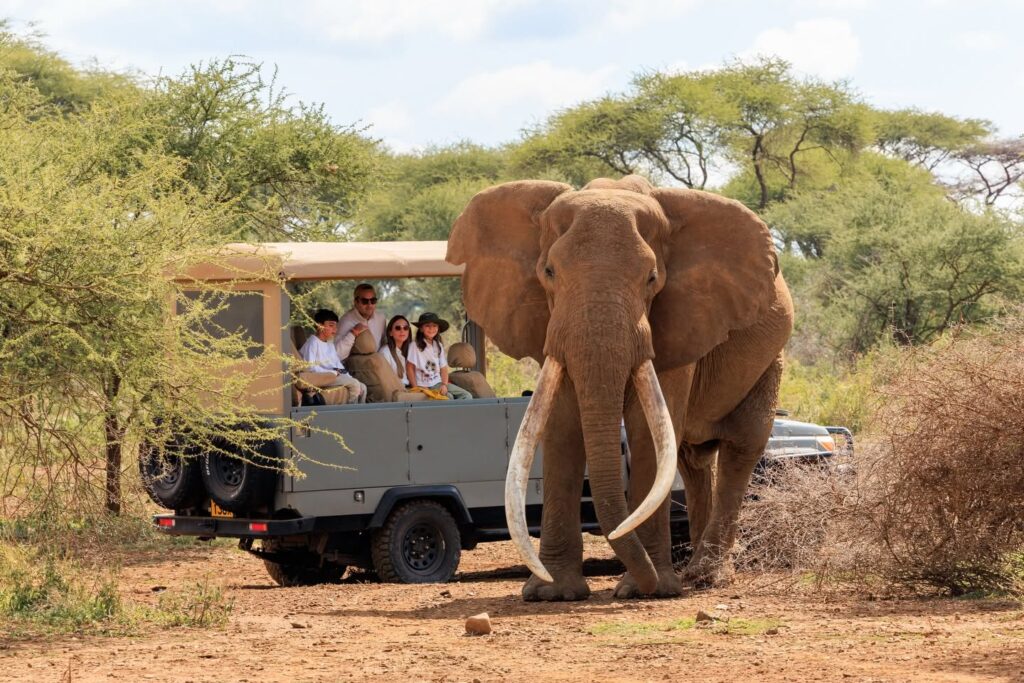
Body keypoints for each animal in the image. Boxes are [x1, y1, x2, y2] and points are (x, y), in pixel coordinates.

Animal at [446, 174, 793, 601]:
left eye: (652, 279)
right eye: (549, 272)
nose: (639, 583)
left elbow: (646, 427)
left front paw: (650, 589)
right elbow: (561, 423)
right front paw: (553, 593)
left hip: (771, 358)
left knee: (740, 447)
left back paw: (706, 576)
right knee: (691, 460)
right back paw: (691, 574)